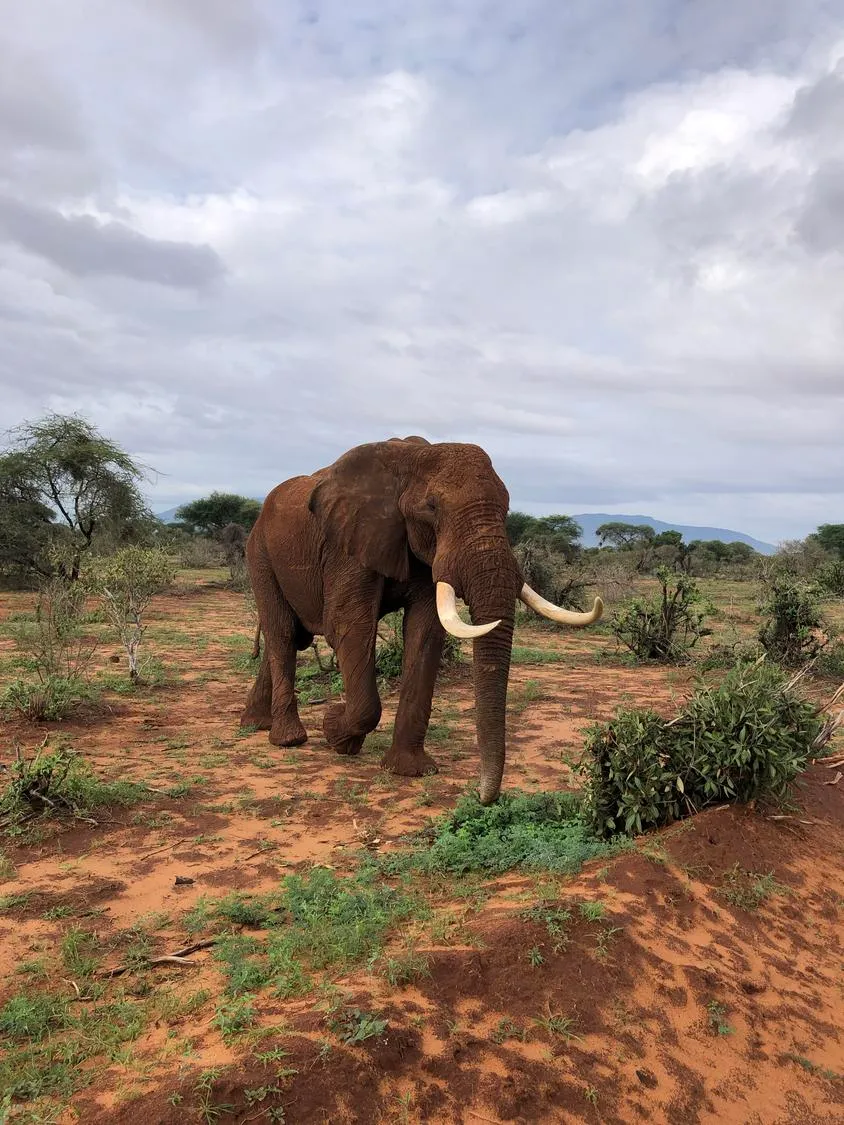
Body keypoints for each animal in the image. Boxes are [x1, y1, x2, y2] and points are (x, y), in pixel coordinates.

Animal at [240, 437, 603, 805]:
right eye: (432, 508)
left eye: (506, 509)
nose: (484, 796)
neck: (412, 457)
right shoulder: (348, 545)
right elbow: (349, 625)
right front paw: (336, 733)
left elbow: (425, 631)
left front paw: (409, 770)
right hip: (260, 554)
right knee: (284, 634)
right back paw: (288, 739)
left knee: (287, 639)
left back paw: (255, 723)